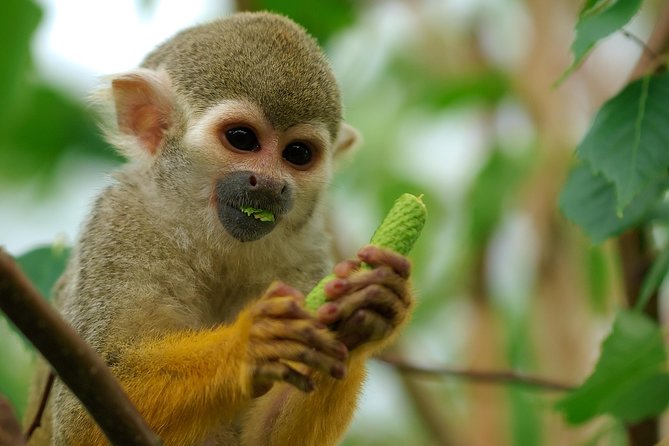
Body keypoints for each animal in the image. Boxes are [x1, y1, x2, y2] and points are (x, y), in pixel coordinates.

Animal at [25, 11, 414, 446]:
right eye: (241, 139)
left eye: (298, 154)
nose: (270, 184)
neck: (210, 237)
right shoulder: (120, 222)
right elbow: (82, 419)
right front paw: (251, 346)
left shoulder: (306, 252)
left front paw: (362, 315)